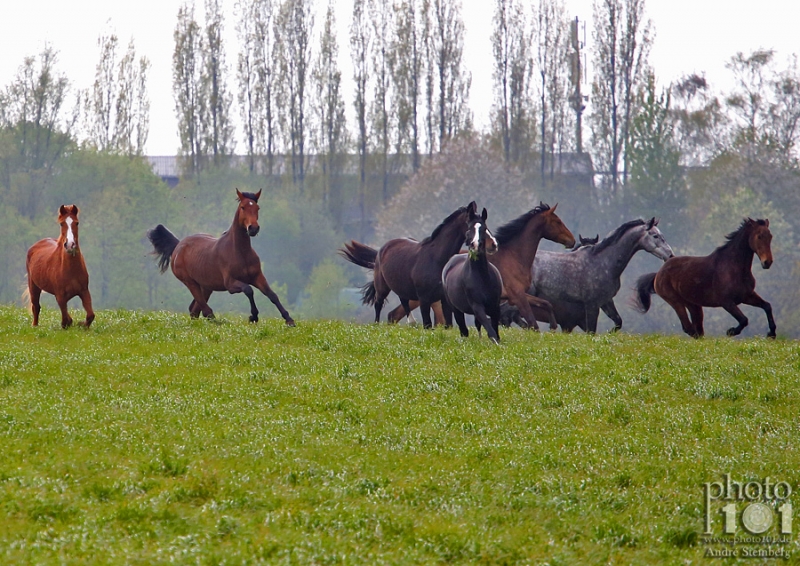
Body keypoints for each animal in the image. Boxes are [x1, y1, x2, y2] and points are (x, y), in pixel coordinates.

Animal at [147, 190, 294, 326]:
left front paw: (289, 320)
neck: (240, 253)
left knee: (195, 309)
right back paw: (216, 322)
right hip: (190, 283)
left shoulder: (257, 277)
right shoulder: (230, 283)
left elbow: (272, 295)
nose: (253, 228)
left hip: (206, 286)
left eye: (257, 208)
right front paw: (253, 316)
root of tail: (178, 246)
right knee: (204, 309)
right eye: (243, 207)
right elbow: (248, 290)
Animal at [338, 203, 476, 328]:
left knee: (403, 303)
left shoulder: (443, 298)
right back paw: (377, 325)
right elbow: (428, 323)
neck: (436, 258)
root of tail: (382, 249)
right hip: (383, 286)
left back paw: (412, 322)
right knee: (379, 303)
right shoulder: (424, 298)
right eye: (471, 224)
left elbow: (447, 324)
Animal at [386, 204, 576, 330]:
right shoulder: (518, 296)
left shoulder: (517, 295)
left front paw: (553, 326)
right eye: (558, 222)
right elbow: (533, 322)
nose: (572, 241)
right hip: (422, 297)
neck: (513, 255)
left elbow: (545, 303)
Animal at [632, 220, 776, 340]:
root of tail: (658, 274)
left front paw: (772, 333)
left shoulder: (747, 296)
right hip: (675, 301)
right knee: (689, 328)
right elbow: (744, 319)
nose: (767, 262)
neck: (735, 268)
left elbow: (767, 306)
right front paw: (730, 331)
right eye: (759, 236)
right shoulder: (726, 302)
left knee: (697, 329)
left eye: (770, 236)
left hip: (693, 304)